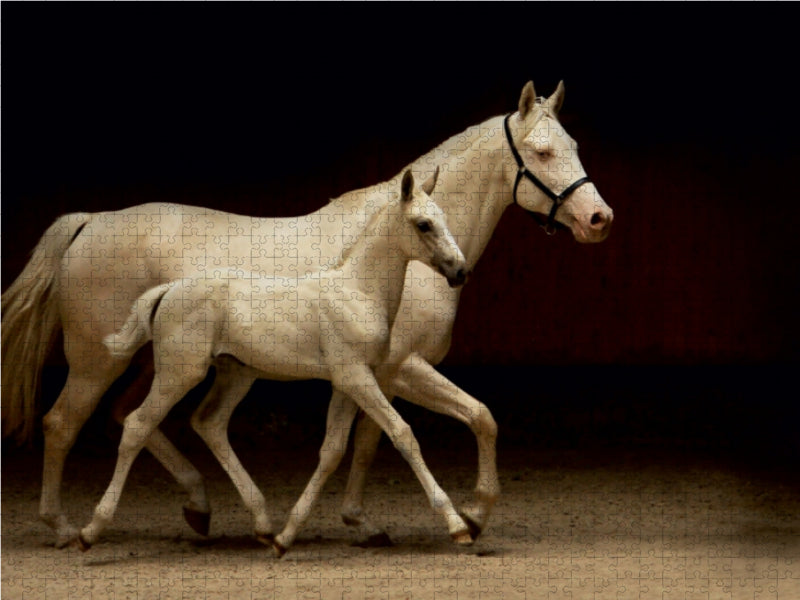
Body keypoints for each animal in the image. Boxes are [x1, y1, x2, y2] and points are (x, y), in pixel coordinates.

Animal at [76, 169, 469, 555]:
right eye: (423, 224)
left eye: (444, 217)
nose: (460, 271)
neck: (357, 291)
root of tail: (170, 290)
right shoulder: (356, 377)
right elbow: (402, 433)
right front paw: (458, 525)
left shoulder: (349, 383)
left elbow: (332, 450)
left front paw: (286, 537)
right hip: (178, 374)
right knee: (137, 425)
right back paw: (90, 530)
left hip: (235, 374)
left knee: (209, 423)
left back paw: (263, 526)